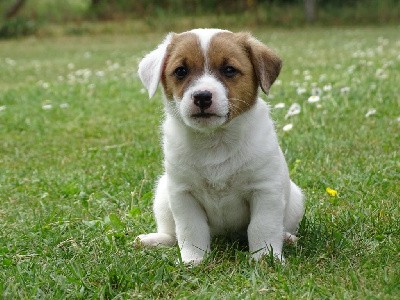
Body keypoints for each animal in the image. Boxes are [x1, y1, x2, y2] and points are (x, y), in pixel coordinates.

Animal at [136, 27, 304, 264]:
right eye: (180, 71)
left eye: (229, 70)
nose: (202, 96)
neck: (214, 141)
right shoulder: (183, 194)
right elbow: (190, 230)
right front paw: (194, 260)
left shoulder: (265, 190)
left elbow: (263, 227)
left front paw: (266, 258)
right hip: (162, 196)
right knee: (172, 234)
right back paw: (153, 240)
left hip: (295, 200)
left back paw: (287, 238)